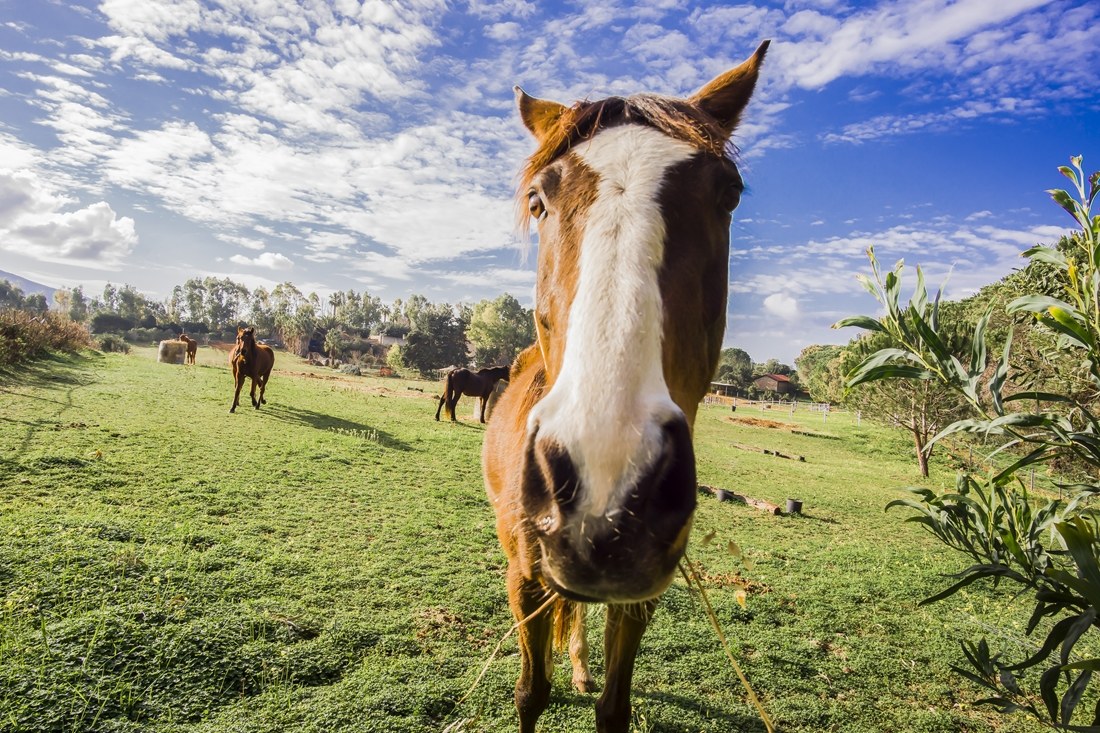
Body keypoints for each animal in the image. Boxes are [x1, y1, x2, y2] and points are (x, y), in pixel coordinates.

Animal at [481, 41, 769, 733]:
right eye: (538, 201)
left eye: (728, 196)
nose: (603, 476)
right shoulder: (523, 577)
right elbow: (529, 693)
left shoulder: (639, 595)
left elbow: (615, 707)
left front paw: (591, 680)